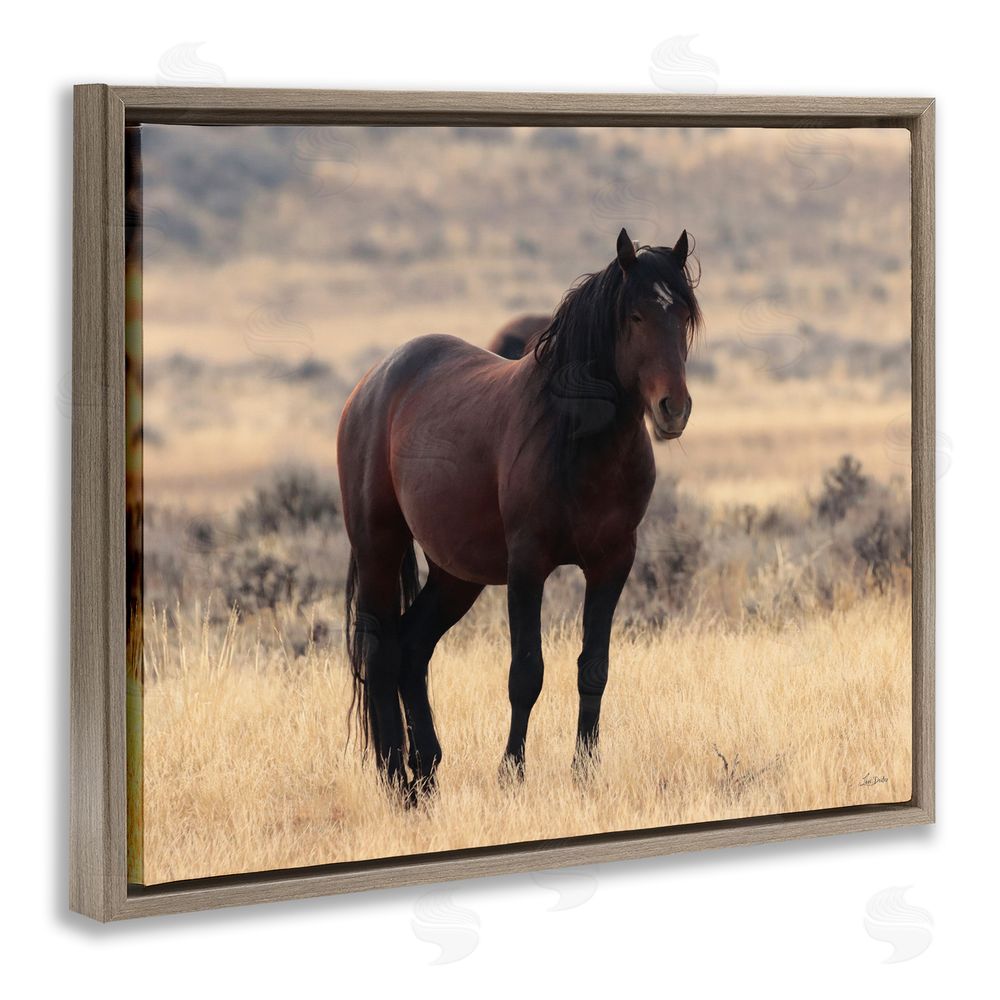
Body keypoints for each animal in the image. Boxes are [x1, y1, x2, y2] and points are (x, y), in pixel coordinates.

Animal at [337, 227, 702, 798]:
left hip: (456, 575)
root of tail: (371, 384)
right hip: (379, 547)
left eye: (683, 315)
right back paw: (397, 778)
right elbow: (526, 672)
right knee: (381, 651)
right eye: (635, 316)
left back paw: (427, 772)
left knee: (414, 649)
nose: (674, 409)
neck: (579, 443)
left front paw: (585, 771)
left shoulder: (612, 563)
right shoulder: (528, 566)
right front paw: (511, 772)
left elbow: (593, 667)